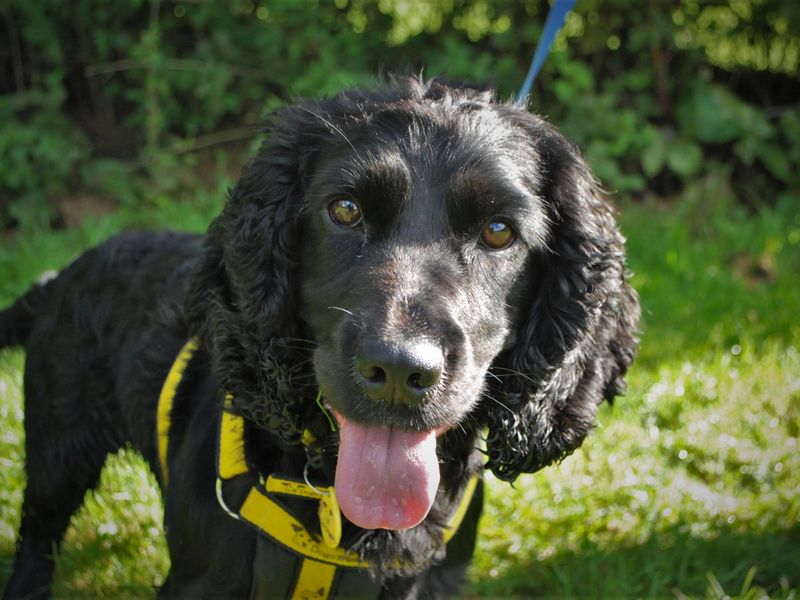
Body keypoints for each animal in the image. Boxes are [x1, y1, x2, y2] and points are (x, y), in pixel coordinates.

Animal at [0, 77, 636, 596]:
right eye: (345, 210)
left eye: (499, 231)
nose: (400, 371)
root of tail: (63, 272)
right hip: (59, 449)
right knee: (36, 537)